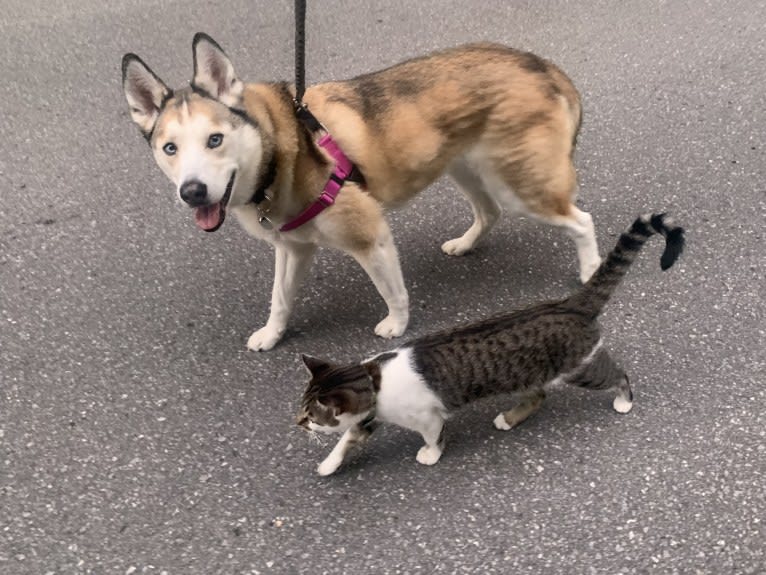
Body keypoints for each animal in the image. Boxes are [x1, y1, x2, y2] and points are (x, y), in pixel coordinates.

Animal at [296, 214, 688, 474]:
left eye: (311, 415)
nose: (299, 425)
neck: (375, 380)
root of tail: (568, 303)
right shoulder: (369, 414)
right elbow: (348, 439)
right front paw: (329, 463)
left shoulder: (426, 416)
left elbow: (433, 436)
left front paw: (430, 454)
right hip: (528, 374)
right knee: (538, 395)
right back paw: (510, 419)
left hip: (581, 367)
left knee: (618, 374)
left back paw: (623, 399)